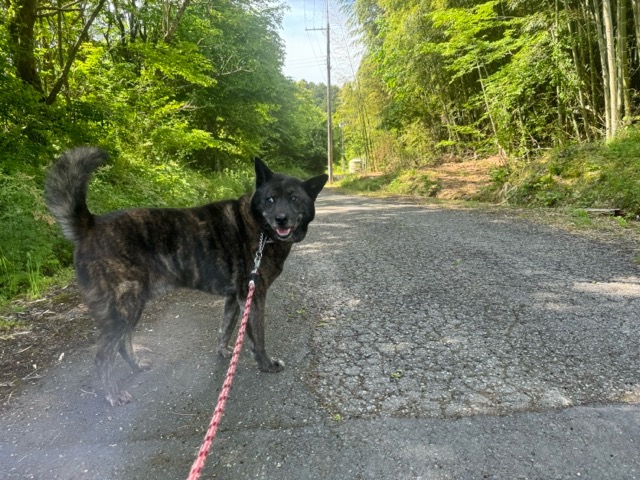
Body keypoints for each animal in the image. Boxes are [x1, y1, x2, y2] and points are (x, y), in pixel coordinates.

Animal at [45, 147, 327, 406]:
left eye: (294, 198)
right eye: (270, 199)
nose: (281, 219)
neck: (261, 229)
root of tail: (90, 225)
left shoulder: (234, 298)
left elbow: (225, 328)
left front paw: (224, 352)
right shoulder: (254, 296)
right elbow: (258, 337)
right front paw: (266, 364)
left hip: (132, 306)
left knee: (124, 344)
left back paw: (136, 366)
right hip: (124, 308)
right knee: (103, 356)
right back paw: (113, 395)